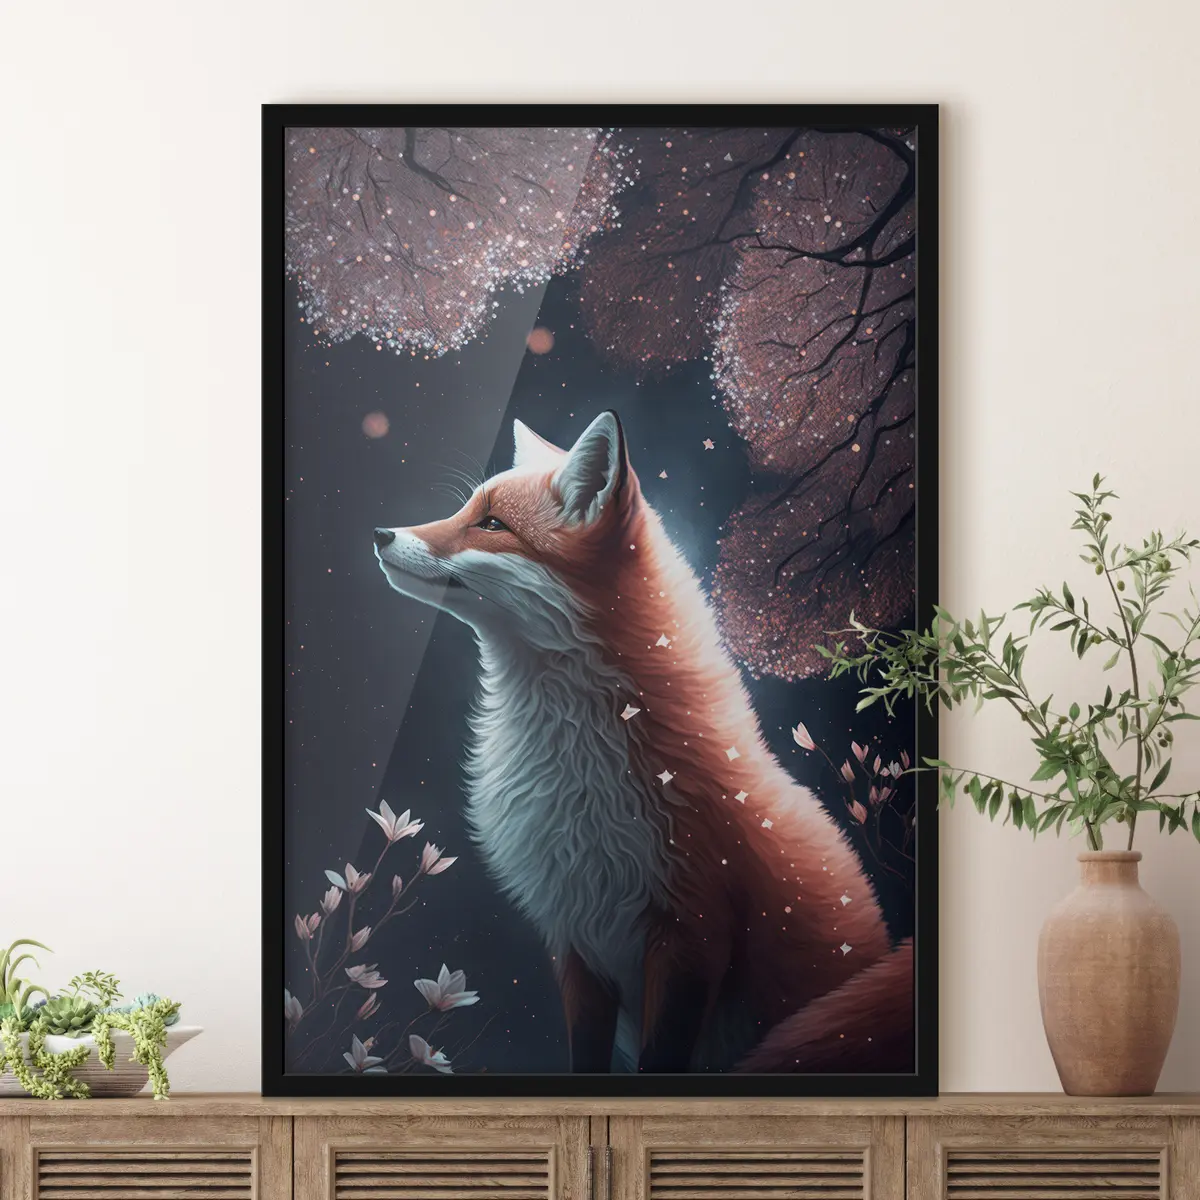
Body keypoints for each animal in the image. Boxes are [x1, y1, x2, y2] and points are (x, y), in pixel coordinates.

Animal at [373, 409, 913, 1074]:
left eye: (492, 525)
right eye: (465, 509)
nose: (382, 534)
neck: (579, 776)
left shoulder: (692, 938)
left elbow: (661, 1057)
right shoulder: (577, 941)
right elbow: (586, 1056)